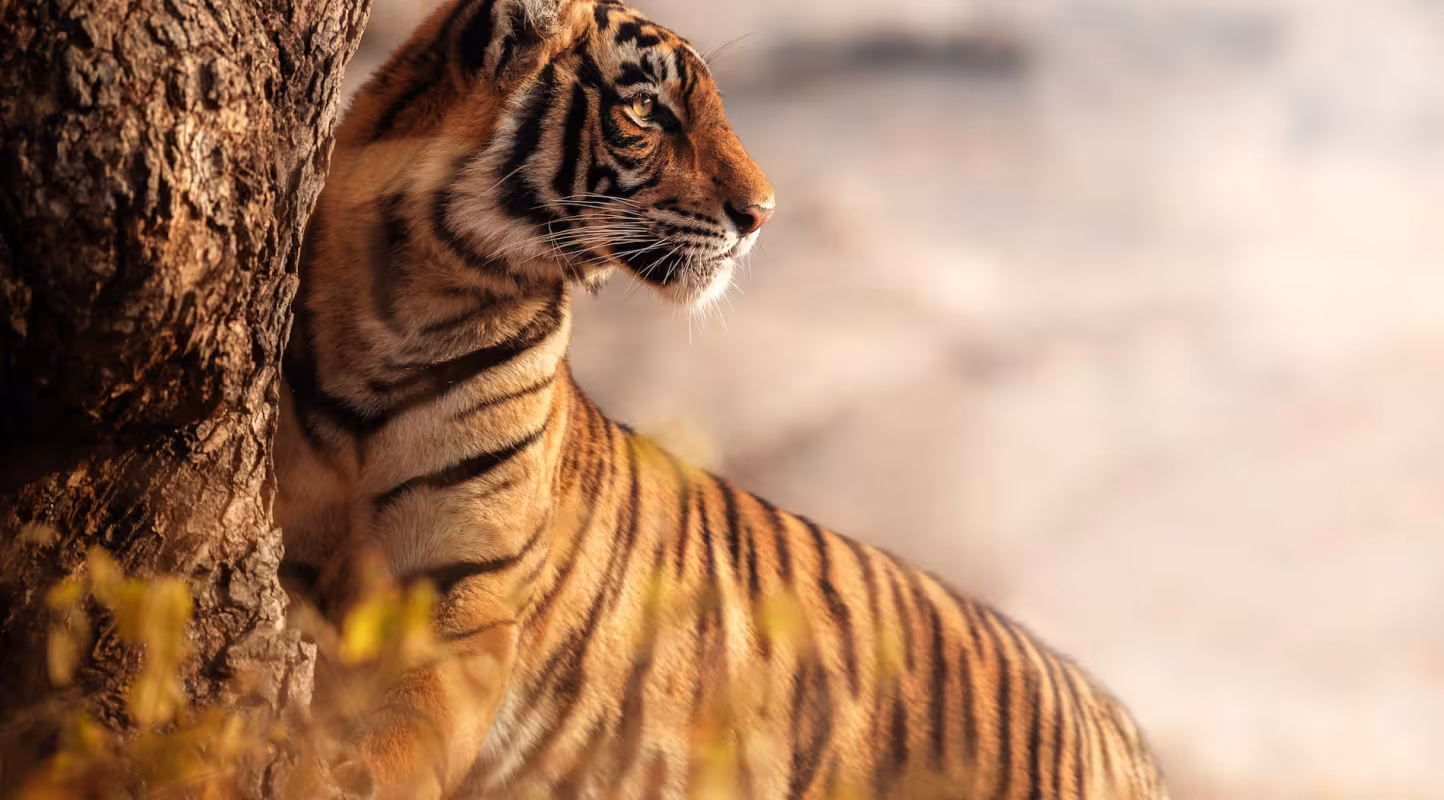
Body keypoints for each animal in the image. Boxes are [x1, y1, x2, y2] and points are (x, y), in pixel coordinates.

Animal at [274, 0, 1171, 797]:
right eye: (648, 108)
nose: (763, 214)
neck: (411, 308)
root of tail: (1120, 726)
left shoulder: (467, 602)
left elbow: (401, 743)